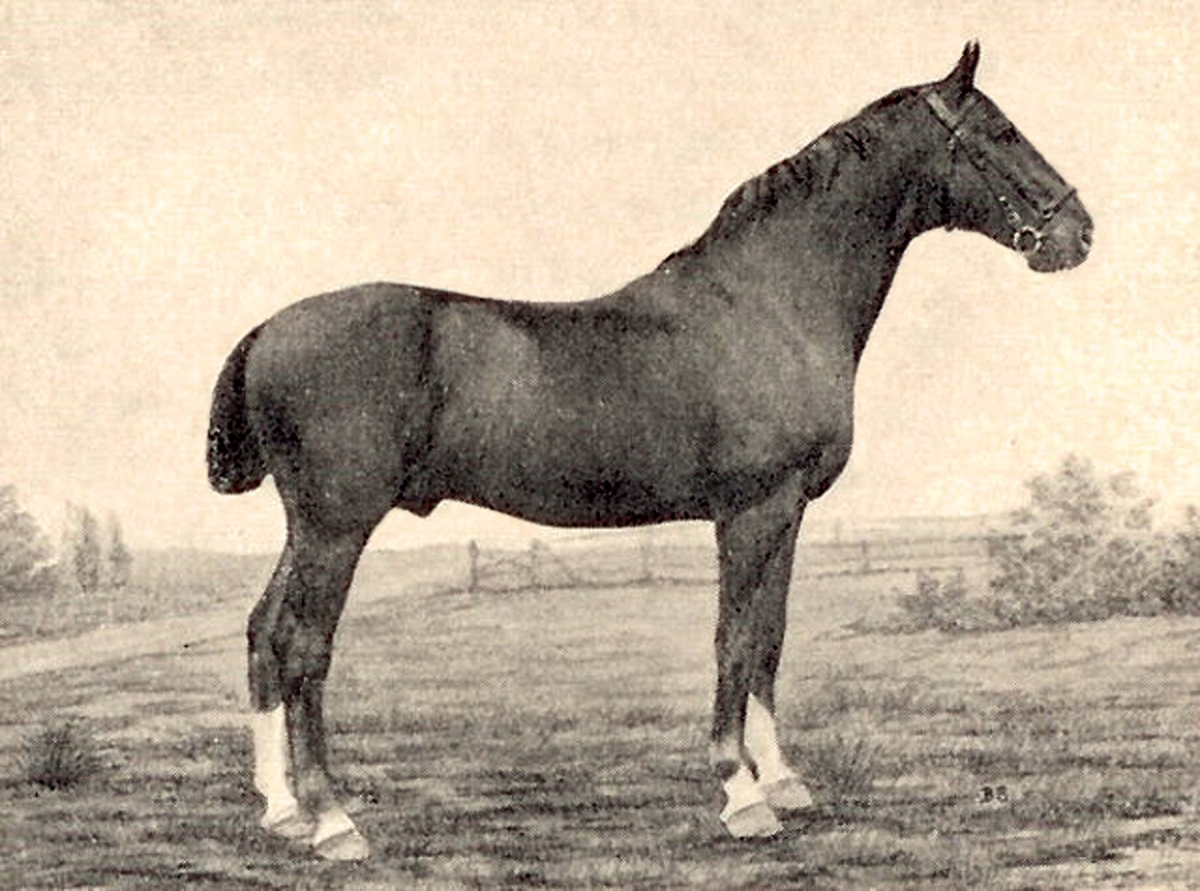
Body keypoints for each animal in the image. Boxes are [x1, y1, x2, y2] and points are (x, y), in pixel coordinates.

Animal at [207, 43, 1091, 860]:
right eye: (1002, 132)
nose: (1077, 233)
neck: (770, 301)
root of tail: (268, 330)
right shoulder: (750, 511)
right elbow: (733, 640)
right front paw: (742, 794)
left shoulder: (789, 513)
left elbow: (770, 638)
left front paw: (784, 779)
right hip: (338, 527)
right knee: (302, 648)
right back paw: (333, 821)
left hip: (309, 527)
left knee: (262, 632)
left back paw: (281, 809)